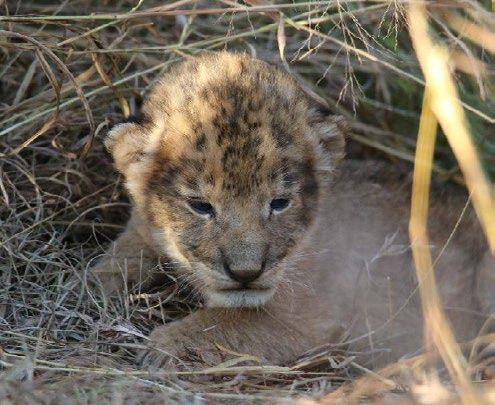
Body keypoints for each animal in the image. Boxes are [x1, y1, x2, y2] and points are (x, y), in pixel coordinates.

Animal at [93, 51, 494, 369]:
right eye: (200, 206)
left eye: (279, 203)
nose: (246, 273)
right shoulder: (144, 231)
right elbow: (120, 256)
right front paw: (92, 283)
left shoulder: (307, 318)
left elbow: (224, 322)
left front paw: (164, 344)